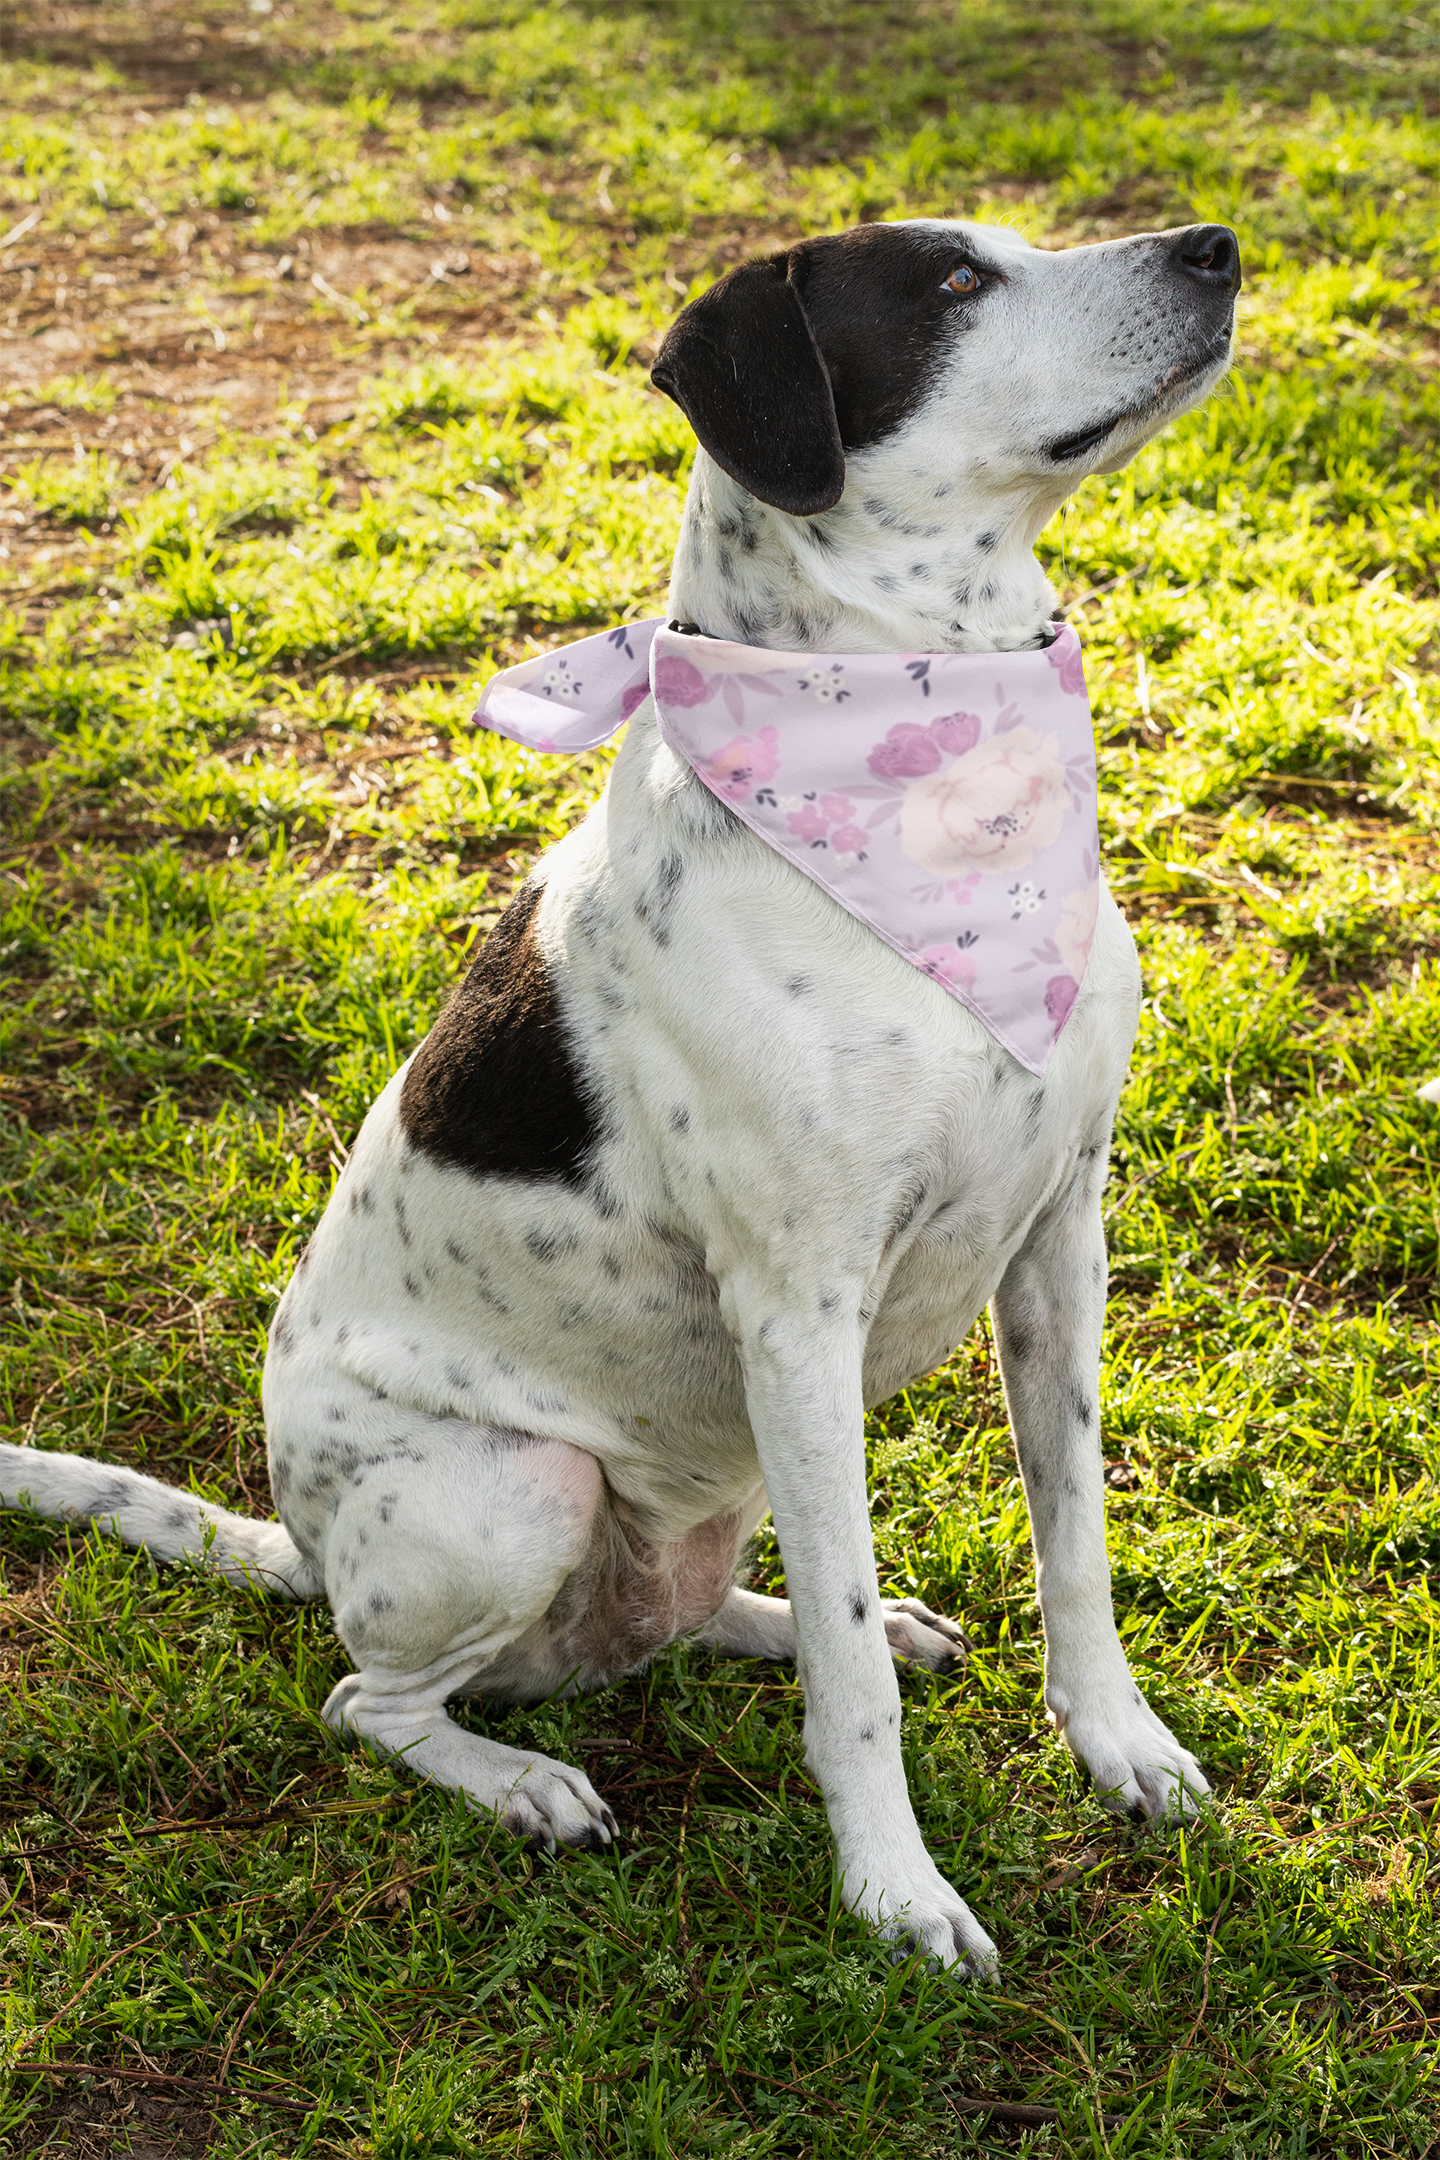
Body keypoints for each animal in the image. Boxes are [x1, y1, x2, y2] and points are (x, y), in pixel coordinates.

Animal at [0, 219, 1243, 1978]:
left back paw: (805, 1624)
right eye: (949, 286)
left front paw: (1118, 1745)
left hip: (702, 1486)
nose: (1213, 247)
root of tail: (300, 1547)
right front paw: (894, 1894)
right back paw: (519, 1781)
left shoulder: (1059, 1233)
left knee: (696, 1609)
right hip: (517, 1491)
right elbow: (850, 1698)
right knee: (372, 1700)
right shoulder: (798, 1310)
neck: (925, 764)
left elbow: (1075, 1545)